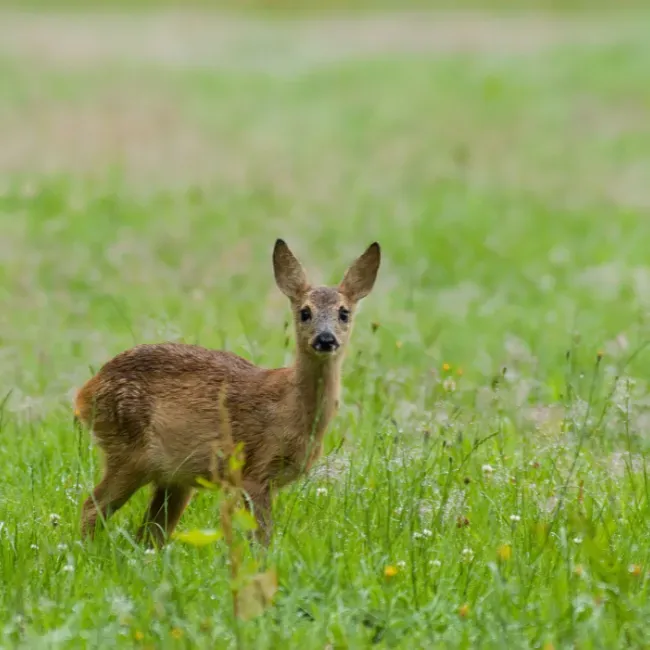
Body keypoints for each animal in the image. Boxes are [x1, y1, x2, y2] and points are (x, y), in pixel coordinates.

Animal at [74, 238, 380, 548]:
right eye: (305, 312)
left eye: (344, 313)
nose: (325, 339)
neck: (290, 406)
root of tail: (85, 392)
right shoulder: (254, 471)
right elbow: (261, 537)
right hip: (128, 449)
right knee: (92, 507)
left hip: (172, 477)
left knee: (149, 533)